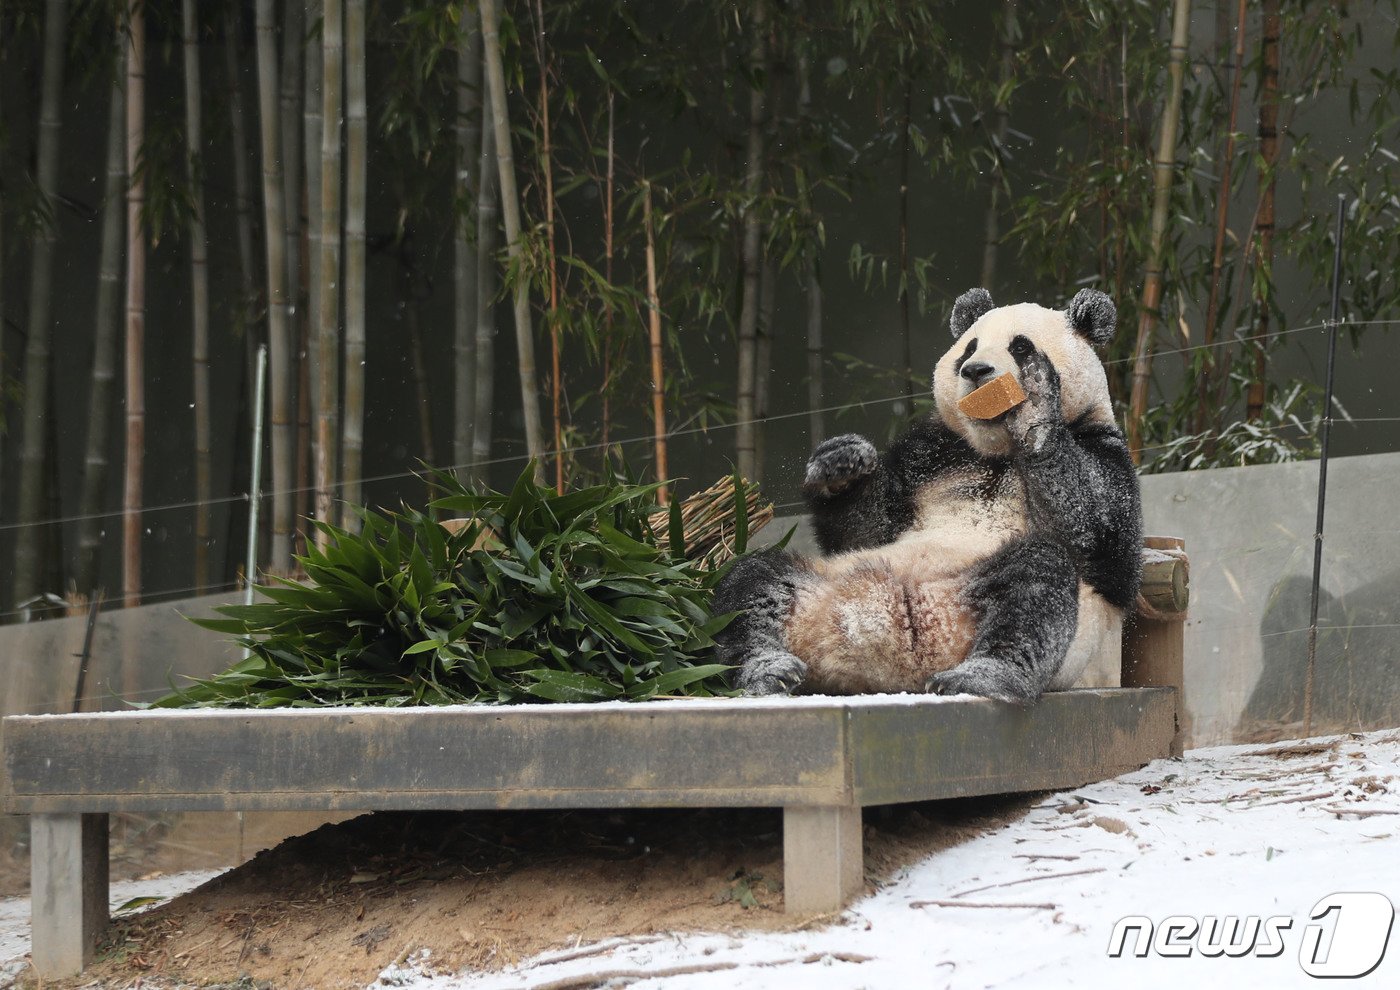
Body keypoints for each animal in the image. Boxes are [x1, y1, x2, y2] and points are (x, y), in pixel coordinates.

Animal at [716, 287, 1142, 705]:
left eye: (1020, 347)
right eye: (969, 349)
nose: (976, 371)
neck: (993, 451)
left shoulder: (1106, 451)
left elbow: (1097, 533)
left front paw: (1035, 401)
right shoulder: (931, 453)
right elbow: (867, 532)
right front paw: (842, 464)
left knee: (1035, 584)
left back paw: (983, 677)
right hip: (823, 581)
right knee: (750, 584)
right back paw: (767, 670)